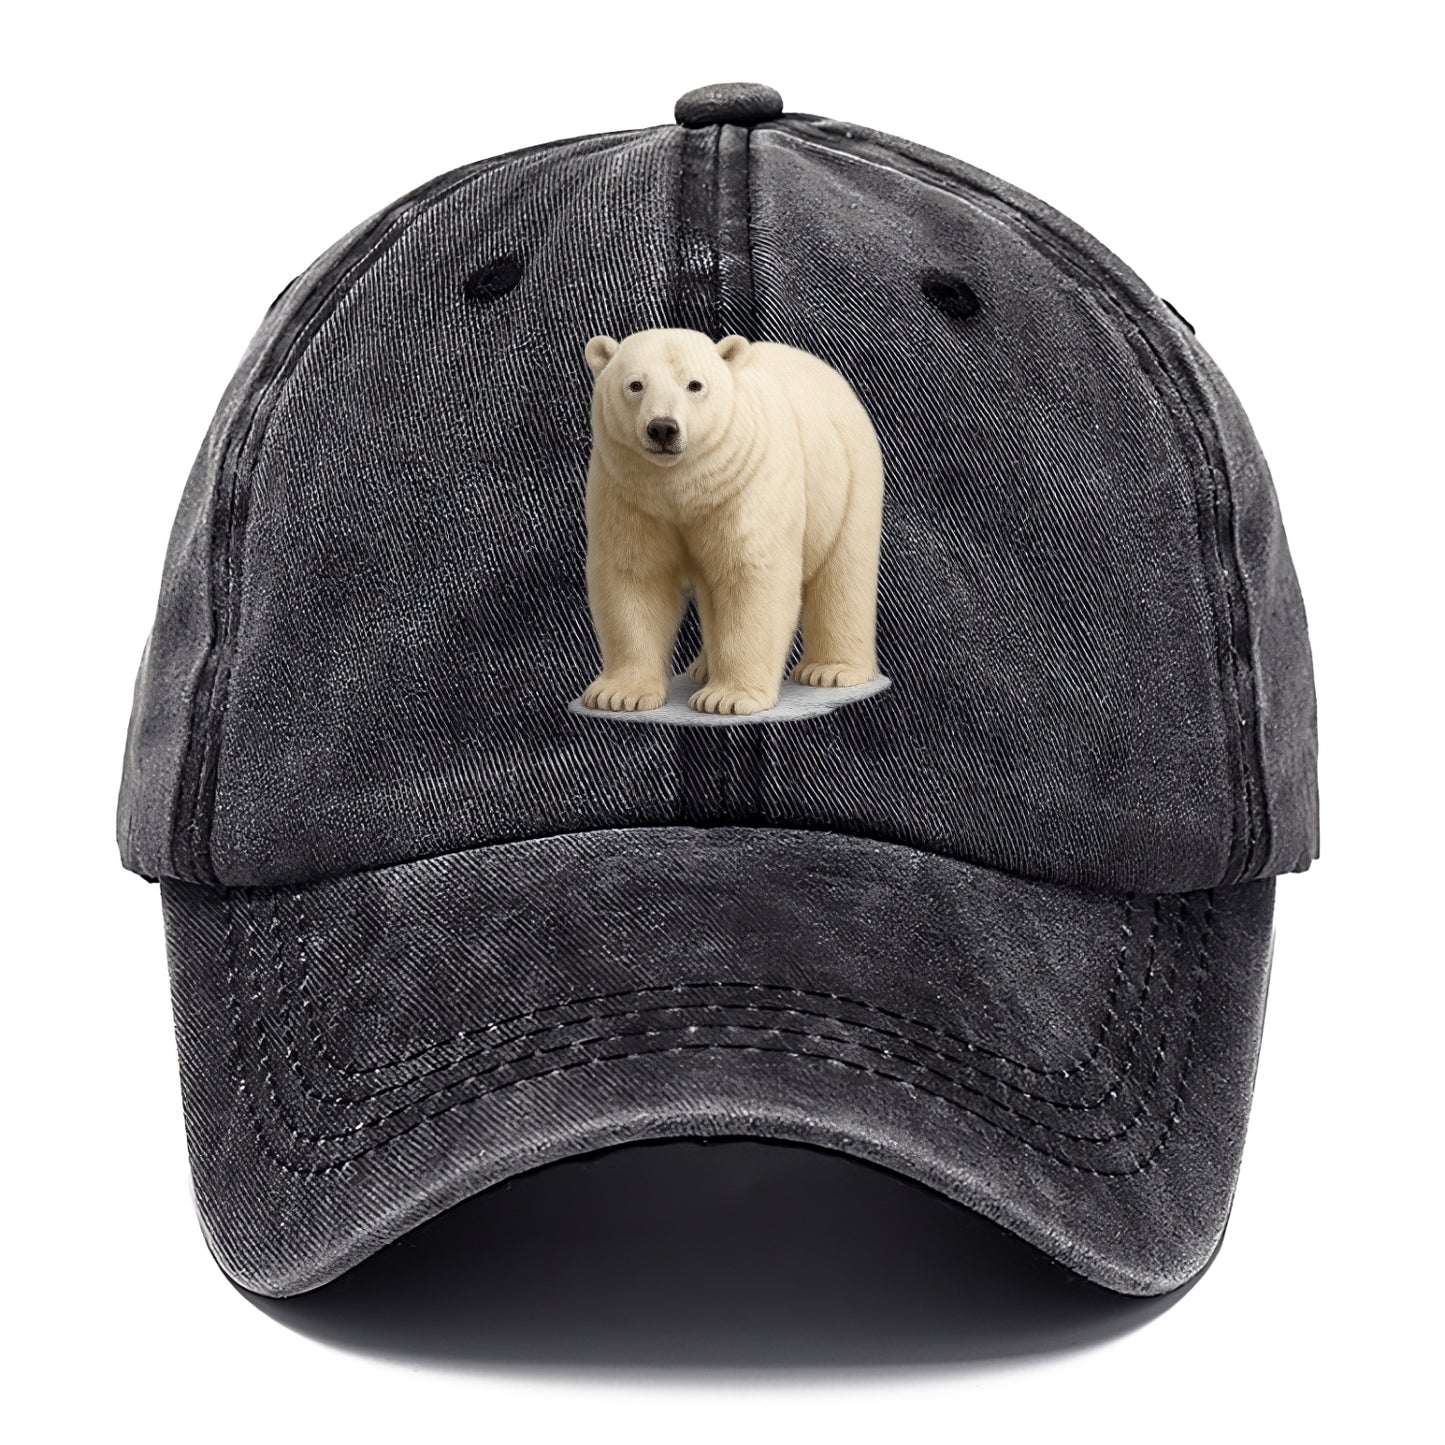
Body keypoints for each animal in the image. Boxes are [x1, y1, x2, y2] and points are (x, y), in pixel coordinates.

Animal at [579, 327, 884, 716]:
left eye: (694, 384)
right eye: (635, 384)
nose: (662, 428)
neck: (681, 486)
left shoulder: (745, 482)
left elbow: (749, 574)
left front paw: (728, 697)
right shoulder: (630, 494)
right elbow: (635, 576)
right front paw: (618, 694)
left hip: (847, 476)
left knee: (844, 570)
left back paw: (830, 670)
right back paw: (703, 667)